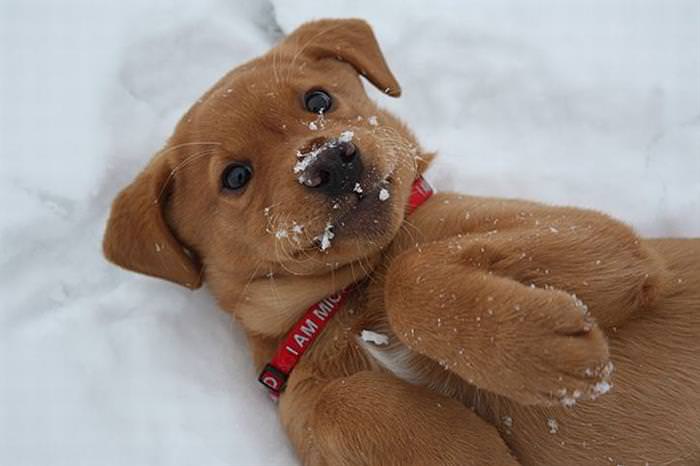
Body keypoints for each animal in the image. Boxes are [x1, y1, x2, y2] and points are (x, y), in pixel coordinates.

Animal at [104, 18, 700, 466]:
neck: (346, 296)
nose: (330, 160)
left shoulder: (604, 241)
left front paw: (538, 349)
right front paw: (460, 439)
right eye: (235, 177)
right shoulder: (303, 405)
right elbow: (335, 401)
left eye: (318, 100)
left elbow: (413, 275)